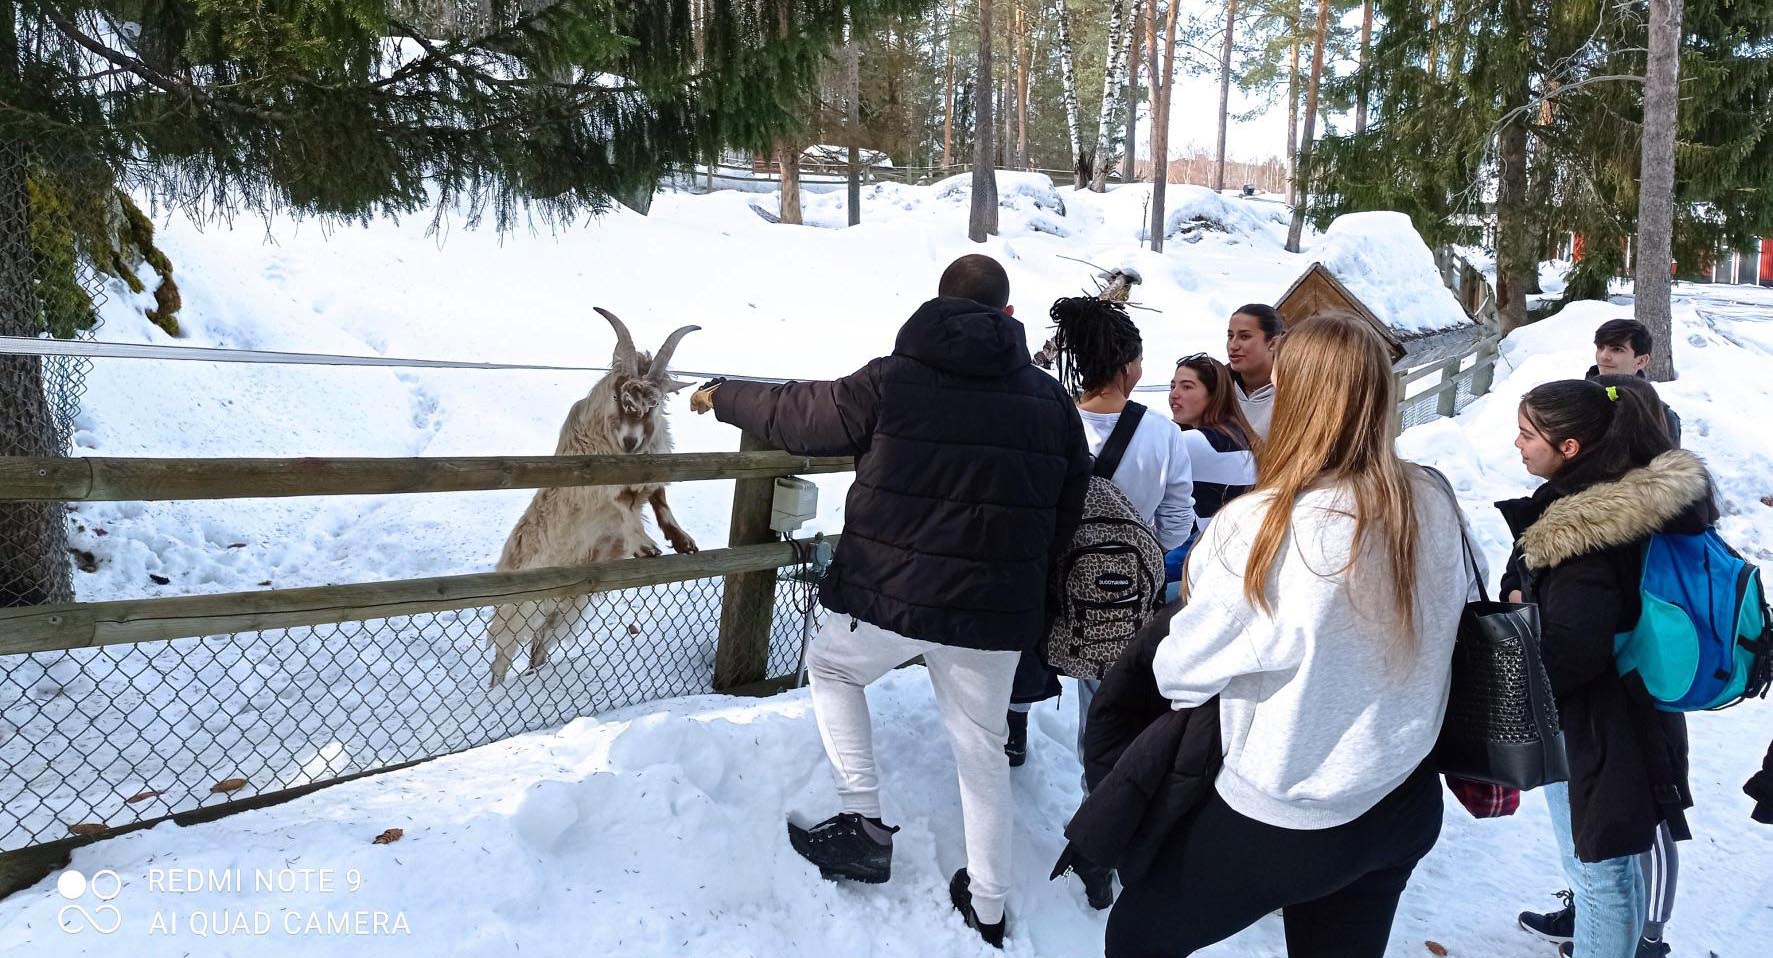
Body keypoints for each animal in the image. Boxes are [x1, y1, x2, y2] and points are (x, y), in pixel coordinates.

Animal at [492, 310, 705, 684]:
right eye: (621, 398)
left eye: (654, 403)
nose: (630, 442)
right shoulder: (596, 481)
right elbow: (622, 503)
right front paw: (645, 546)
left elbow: (659, 498)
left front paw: (683, 541)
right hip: (519, 609)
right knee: (502, 655)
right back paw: (497, 691)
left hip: (568, 606)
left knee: (541, 642)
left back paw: (536, 673)